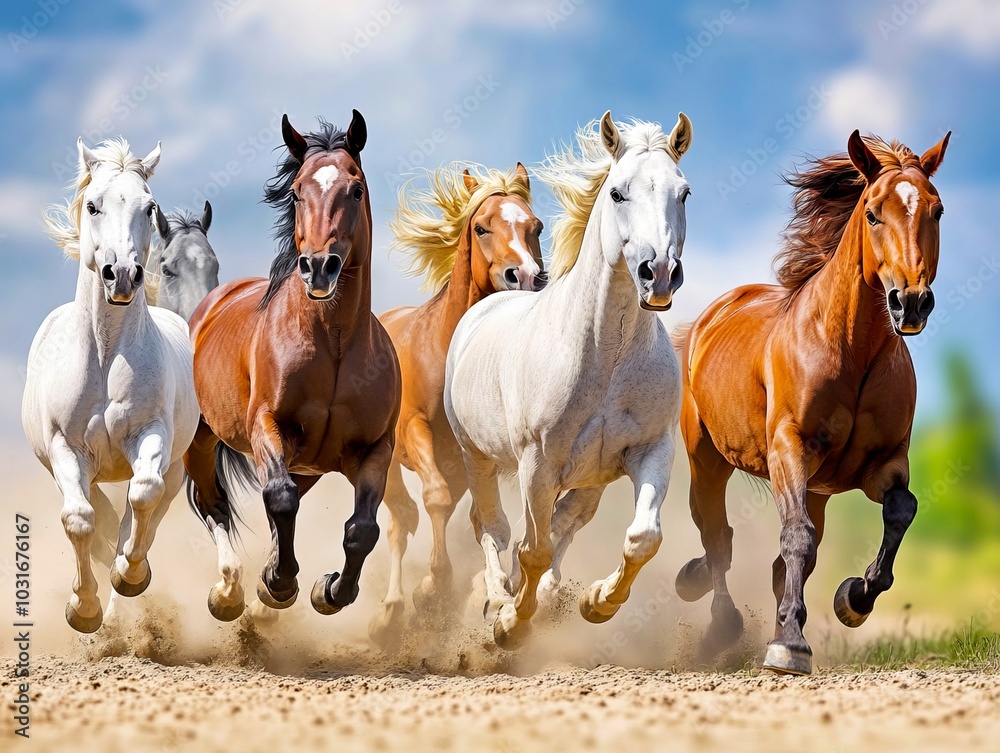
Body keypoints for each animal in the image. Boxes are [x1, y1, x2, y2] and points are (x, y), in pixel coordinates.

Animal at [24, 137, 199, 633]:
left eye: (149, 206)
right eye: (93, 205)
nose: (121, 275)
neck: (103, 359)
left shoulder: (150, 435)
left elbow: (142, 496)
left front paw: (129, 575)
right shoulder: (66, 449)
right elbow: (80, 519)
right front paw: (83, 608)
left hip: (175, 468)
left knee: (144, 512)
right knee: (98, 516)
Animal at [183, 111, 401, 623]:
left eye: (355, 188)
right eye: (298, 191)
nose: (319, 267)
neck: (334, 346)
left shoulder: (375, 448)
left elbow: (361, 529)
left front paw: (329, 590)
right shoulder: (268, 425)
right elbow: (279, 500)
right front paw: (280, 583)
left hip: (309, 464)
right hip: (200, 438)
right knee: (214, 503)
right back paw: (229, 593)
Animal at [368, 161, 545, 647]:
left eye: (536, 226)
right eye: (482, 227)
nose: (526, 276)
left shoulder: (473, 457)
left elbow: (473, 516)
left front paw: (471, 594)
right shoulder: (415, 432)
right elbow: (435, 501)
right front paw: (433, 588)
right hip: (388, 461)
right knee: (401, 521)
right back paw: (390, 611)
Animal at [445, 111, 693, 648]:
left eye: (684, 192)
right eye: (617, 192)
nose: (659, 273)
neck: (606, 357)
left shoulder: (651, 449)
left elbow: (642, 538)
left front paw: (597, 601)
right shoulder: (537, 464)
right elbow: (531, 549)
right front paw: (509, 624)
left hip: (589, 478)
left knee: (564, 523)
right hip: (478, 458)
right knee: (492, 528)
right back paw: (497, 598)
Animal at [672, 129, 950, 675]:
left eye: (937, 210)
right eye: (873, 213)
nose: (911, 302)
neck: (852, 351)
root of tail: (708, 318)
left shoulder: (882, 463)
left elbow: (901, 509)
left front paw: (854, 598)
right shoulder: (790, 449)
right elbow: (794, 537)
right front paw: (790, 646)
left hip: (816, 487)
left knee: (776, 557)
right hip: (707, 459)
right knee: (718, 537)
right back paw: (721, 627)